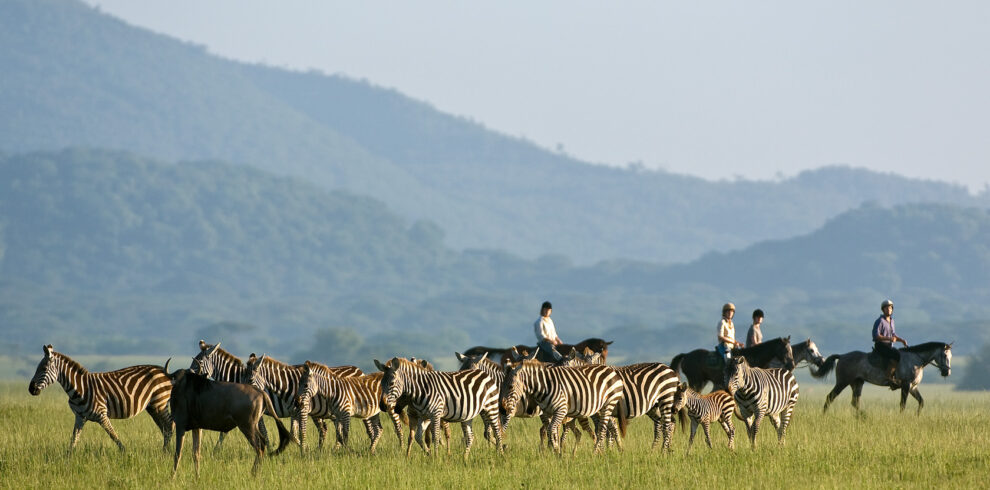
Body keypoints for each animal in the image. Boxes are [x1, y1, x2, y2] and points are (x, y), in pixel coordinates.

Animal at [813, 341, 952, 415]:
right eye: (945, 355)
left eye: (951, 356)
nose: (947, 372)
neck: (916, 360)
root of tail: (841, 356)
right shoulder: (906, 385)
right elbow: (902, 404)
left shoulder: (913, 387)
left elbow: (921, 401)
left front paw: (917, 416)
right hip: (842, 382)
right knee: (830, 397)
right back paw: (823, 415)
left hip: (857, 383)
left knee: (855, 402)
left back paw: (863, 417)